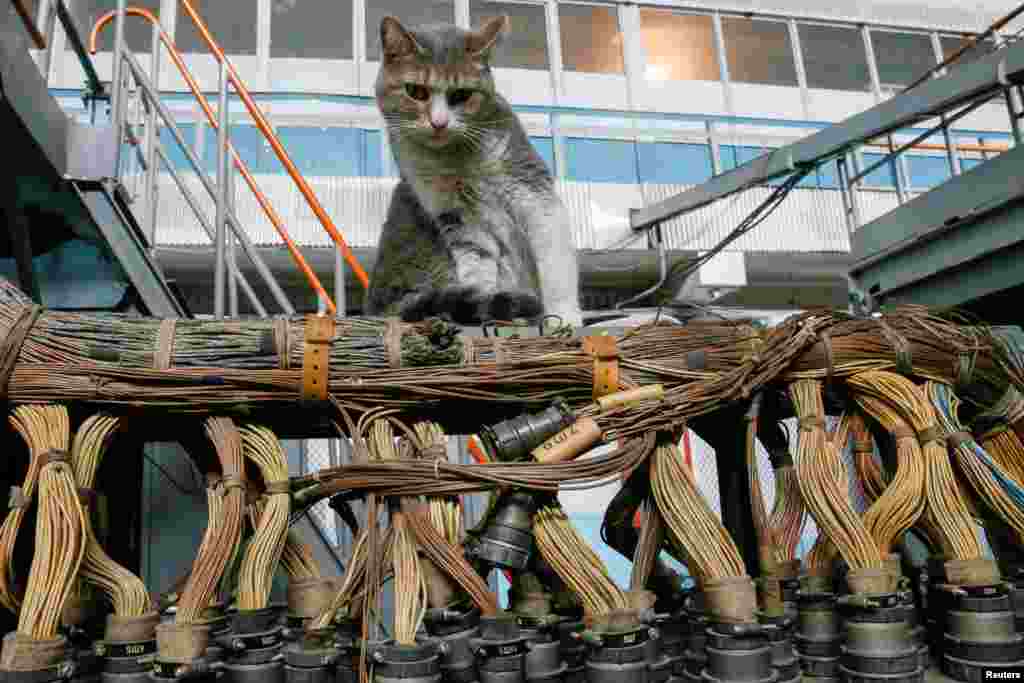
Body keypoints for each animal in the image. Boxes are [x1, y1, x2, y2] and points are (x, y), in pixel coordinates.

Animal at [364, 13, 581, 327]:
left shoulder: (532, 192)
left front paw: (563, 317)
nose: (439, 123)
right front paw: (489, 303)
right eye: (415, 91)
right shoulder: (457, 216)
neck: (455, 159)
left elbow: (554, 261)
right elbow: (477, 267)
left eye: (462, 95)